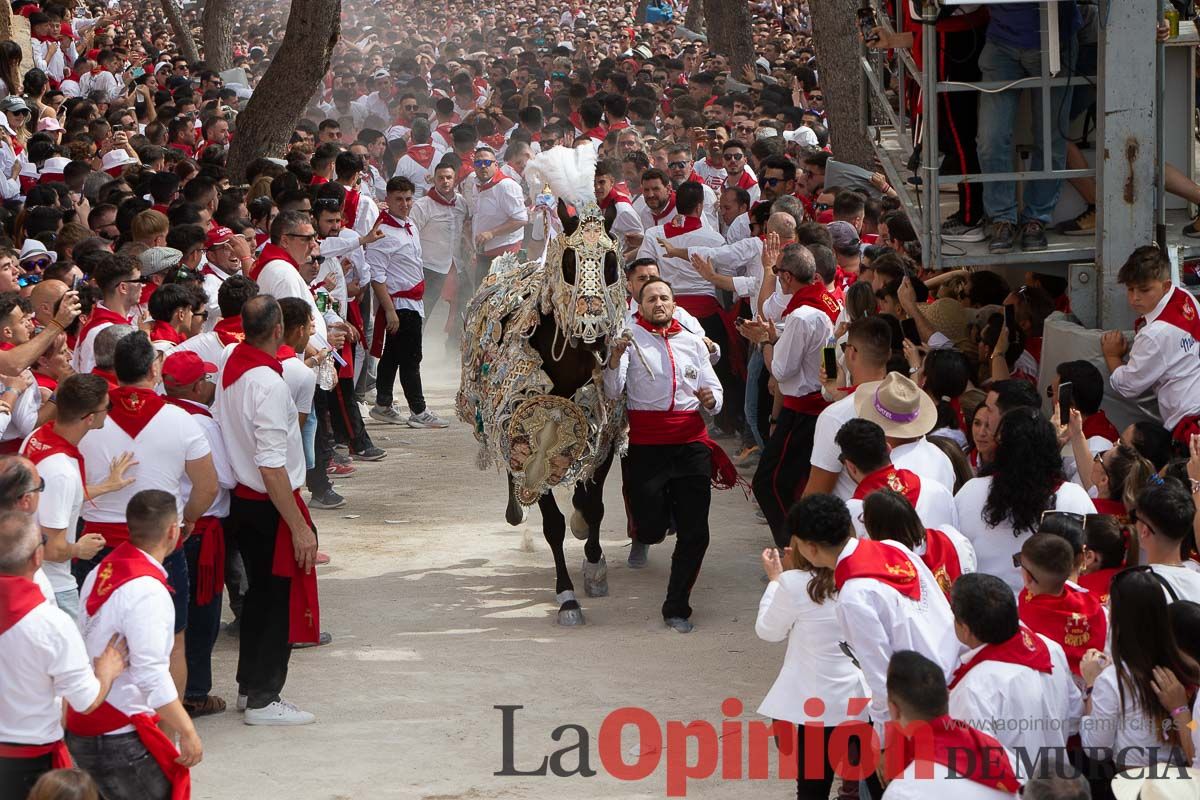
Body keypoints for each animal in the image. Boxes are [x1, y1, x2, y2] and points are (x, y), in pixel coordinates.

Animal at [458, 195, 628, 623]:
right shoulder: (530, 438)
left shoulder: (603, 434)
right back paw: (516, 507)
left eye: (611, 262)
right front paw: (567, 596)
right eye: (569, 261)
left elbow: (593, 505)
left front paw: (594, 564)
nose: (592, 327)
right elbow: (552, 522)